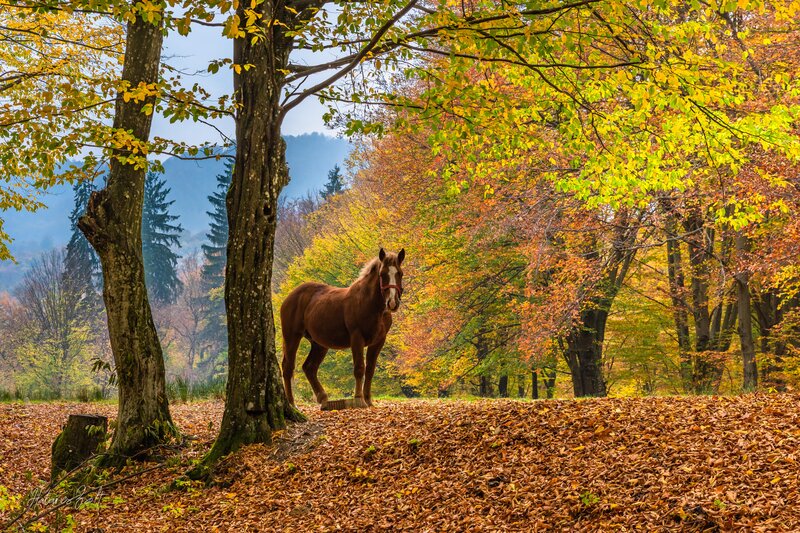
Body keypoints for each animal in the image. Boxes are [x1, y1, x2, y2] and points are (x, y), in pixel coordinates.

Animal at [280, 248, 405, 409]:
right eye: (382, 274)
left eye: (400, 273)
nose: (392, 303)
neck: (371, 305)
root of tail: (290, 297)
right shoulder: (357, 338)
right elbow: (359, 368)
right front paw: (359, 399)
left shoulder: (378, 341)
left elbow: (370, 370)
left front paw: (368, 399)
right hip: (292, 336)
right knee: (288, 367)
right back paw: (291, 403)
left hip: (319, 344)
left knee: (309, 367)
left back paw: (322, 398)